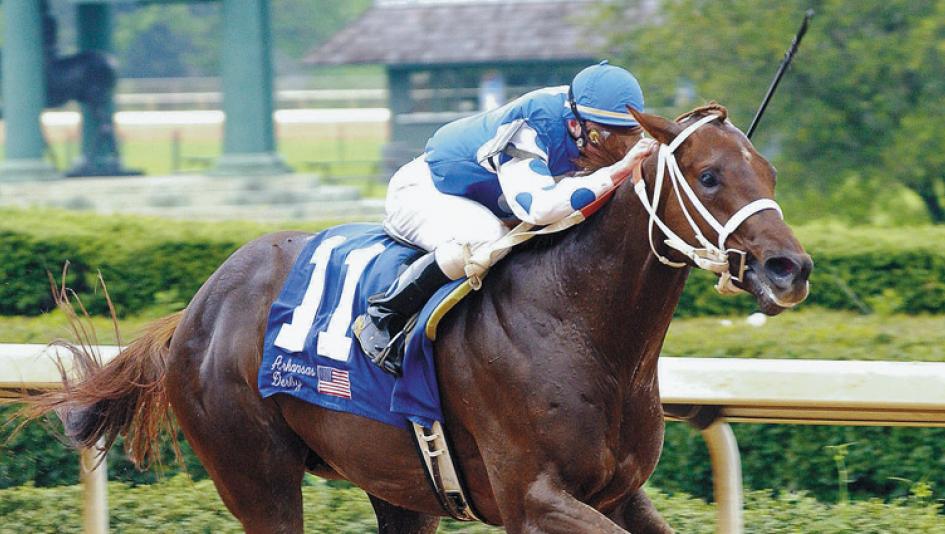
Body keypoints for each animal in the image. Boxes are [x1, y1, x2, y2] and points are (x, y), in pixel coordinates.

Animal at [24, 103, 811, 533]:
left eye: (770, 172)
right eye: (708, 176)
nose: (790, 268)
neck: (585, 328)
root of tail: (196, 307)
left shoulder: (616, 494)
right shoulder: (534, 500)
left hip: (400, 488)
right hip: (256, 477)